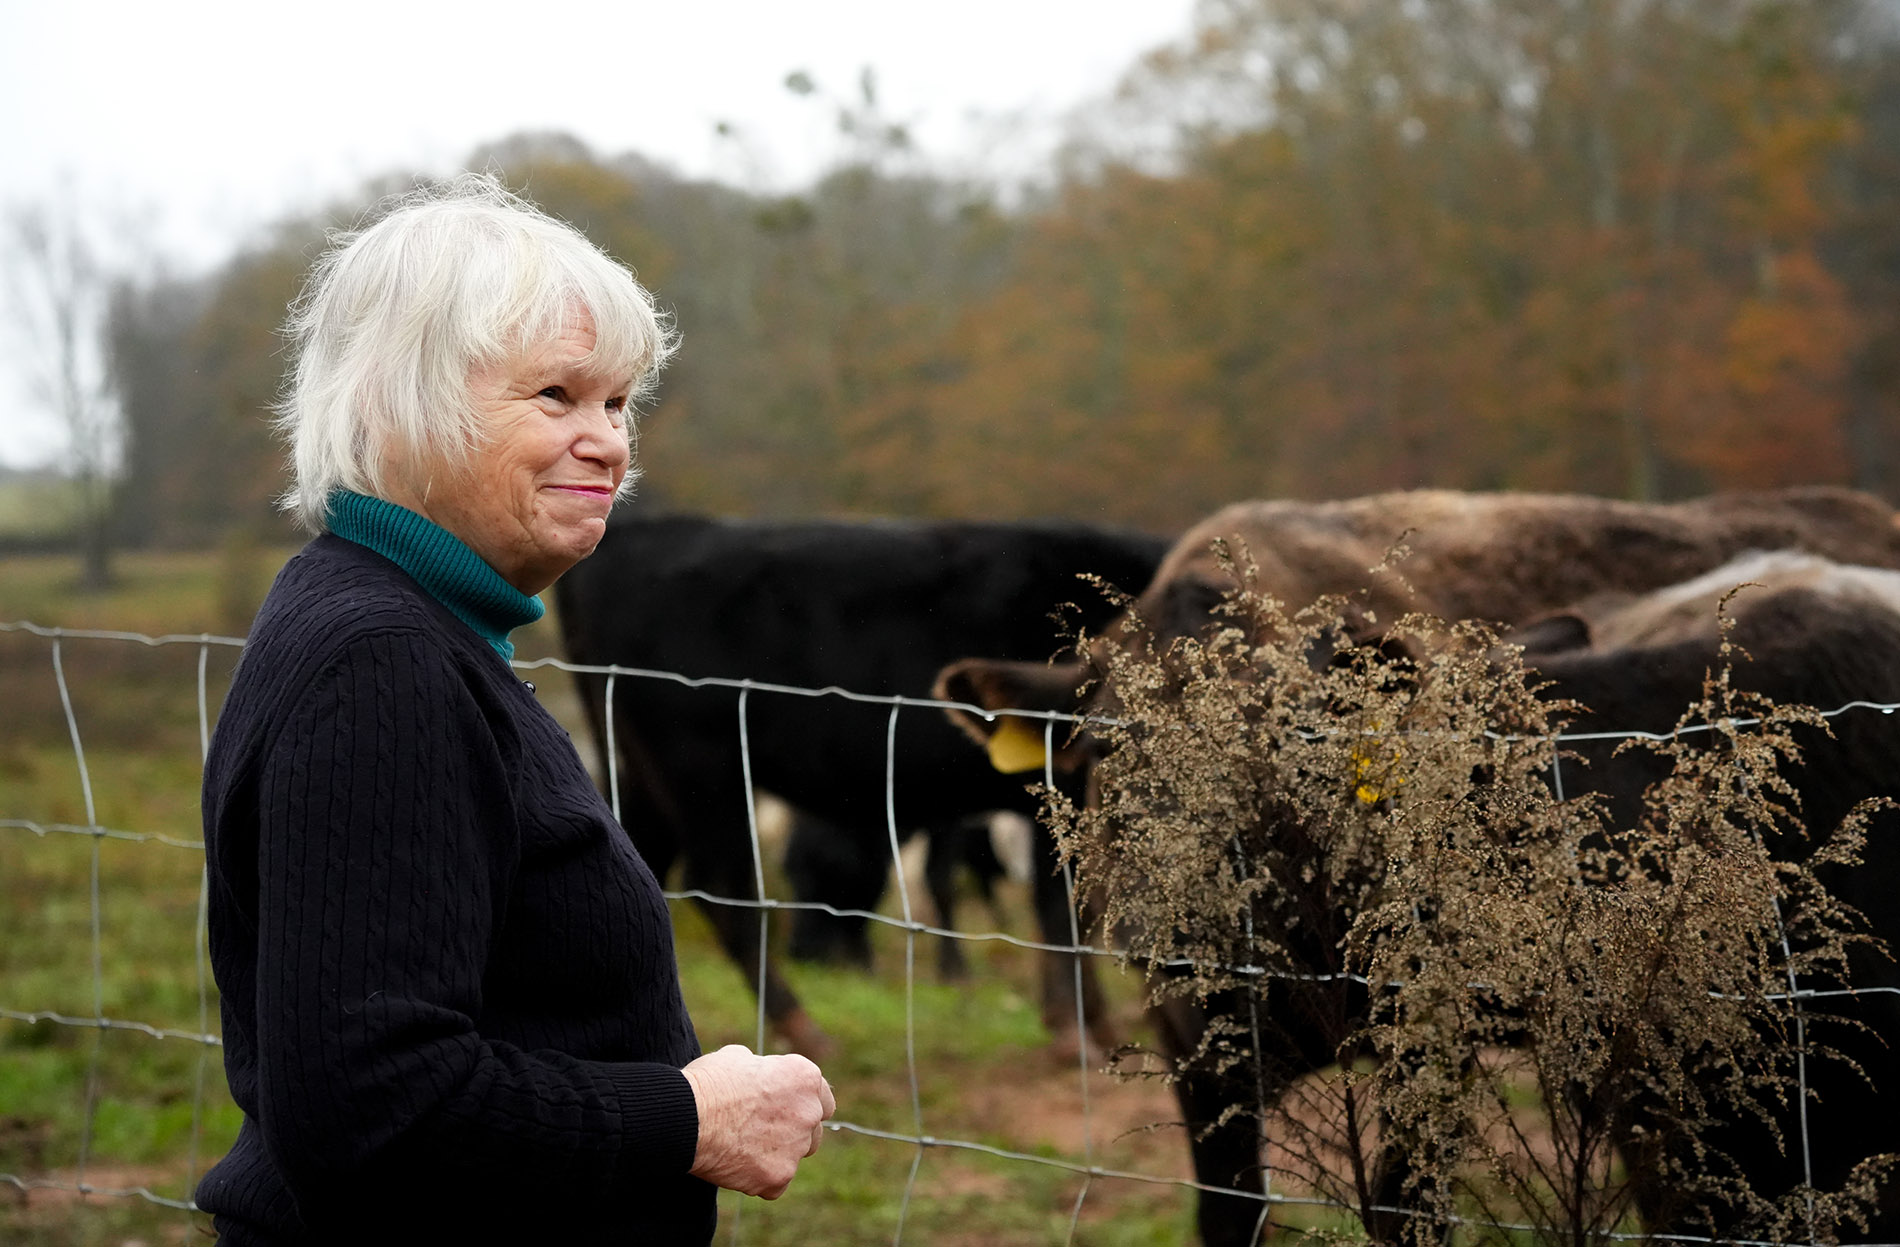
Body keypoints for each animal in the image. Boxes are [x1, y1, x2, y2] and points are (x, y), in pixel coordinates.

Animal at [554, 513, 1170, 1056]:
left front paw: (1097, 1026)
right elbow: (1061, 911)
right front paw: (1075, 1031)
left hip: (642, 770)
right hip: (700, 768)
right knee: (725, 890)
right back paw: (803, 1029)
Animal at [938, 486, 1900, 1247]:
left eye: (1288, 756)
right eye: (1105, 749)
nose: (1166, 928)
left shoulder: (1435, 1037)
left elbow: (1403, 1205)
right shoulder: (1194, 1050)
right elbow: (1229, 1212)